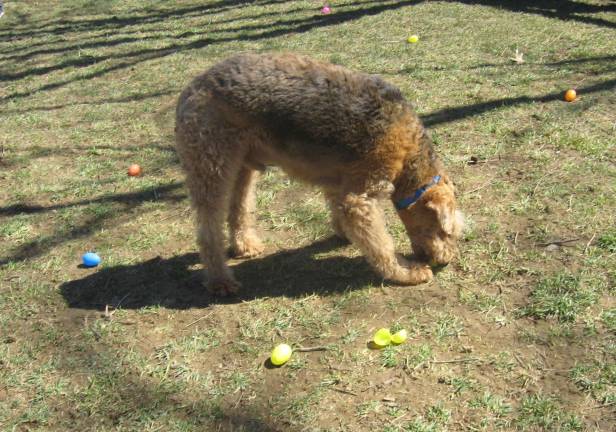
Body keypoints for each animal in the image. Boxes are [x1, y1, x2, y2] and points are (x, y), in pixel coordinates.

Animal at [173, 52, 462, 296]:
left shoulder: (341, 182)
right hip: (212, 166)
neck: (409, 155)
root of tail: (192, 87)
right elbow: (382, 244)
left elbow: (339, 210)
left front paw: (342, 232)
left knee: (239, 209)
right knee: (208, 229)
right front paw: (406, 272)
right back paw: (220, 280)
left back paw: (245, 246)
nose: (444, 260)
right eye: (445, 232)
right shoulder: (361, 197)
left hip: (243, 165)